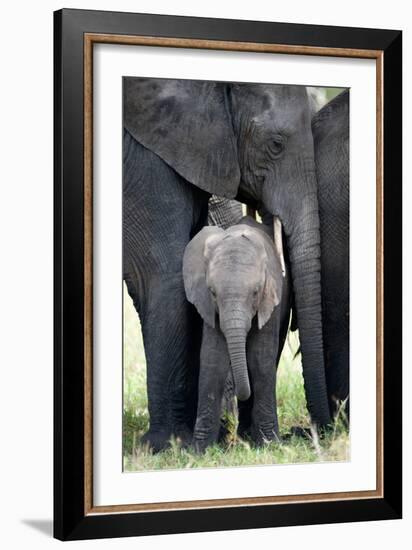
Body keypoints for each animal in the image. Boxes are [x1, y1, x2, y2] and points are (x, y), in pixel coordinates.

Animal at [183, 216, 290, 452]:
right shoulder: (209, 306)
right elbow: (213, 359)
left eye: (256, 292)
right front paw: (199, 451)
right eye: (213, 292)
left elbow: (260, 360)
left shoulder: (271, 299)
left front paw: (270, 444)